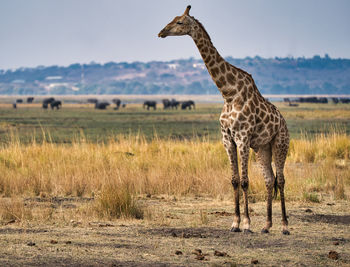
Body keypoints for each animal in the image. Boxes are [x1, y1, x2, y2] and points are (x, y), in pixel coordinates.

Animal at [159, 6, 290, 236]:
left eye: (180, 22)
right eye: (173, 19)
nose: (161, 32)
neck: (228, 93)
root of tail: (284, 123)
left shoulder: (243, 138)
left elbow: (245, 181)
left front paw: (246, 224)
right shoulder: (227, 139)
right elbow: (234, 180)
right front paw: (235, 223)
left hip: (280, 143)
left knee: (281, 180)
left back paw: (284, 226)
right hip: (262, 148)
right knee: (269, 180)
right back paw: (266, 226)